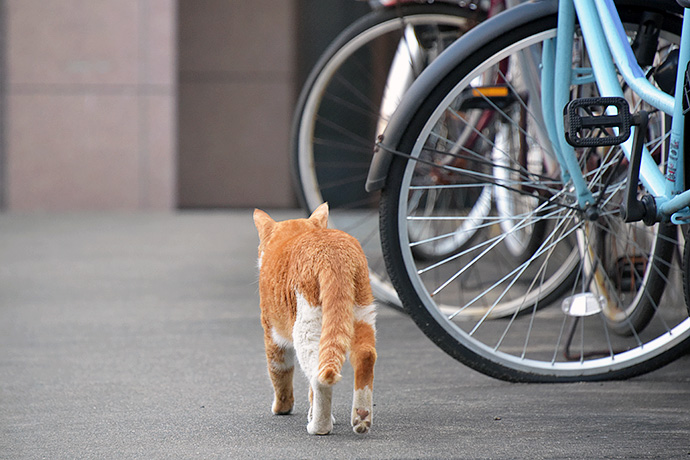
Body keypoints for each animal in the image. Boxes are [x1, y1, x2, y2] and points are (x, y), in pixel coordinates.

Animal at [253, 204, 376, 434]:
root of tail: (333, 253)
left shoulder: (272, 335)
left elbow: (279, 373)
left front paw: (282, 407)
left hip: (305, 325)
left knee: (319, 377)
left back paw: (320, 426)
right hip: (362, 310)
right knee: (365, 355)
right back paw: (361, 416)